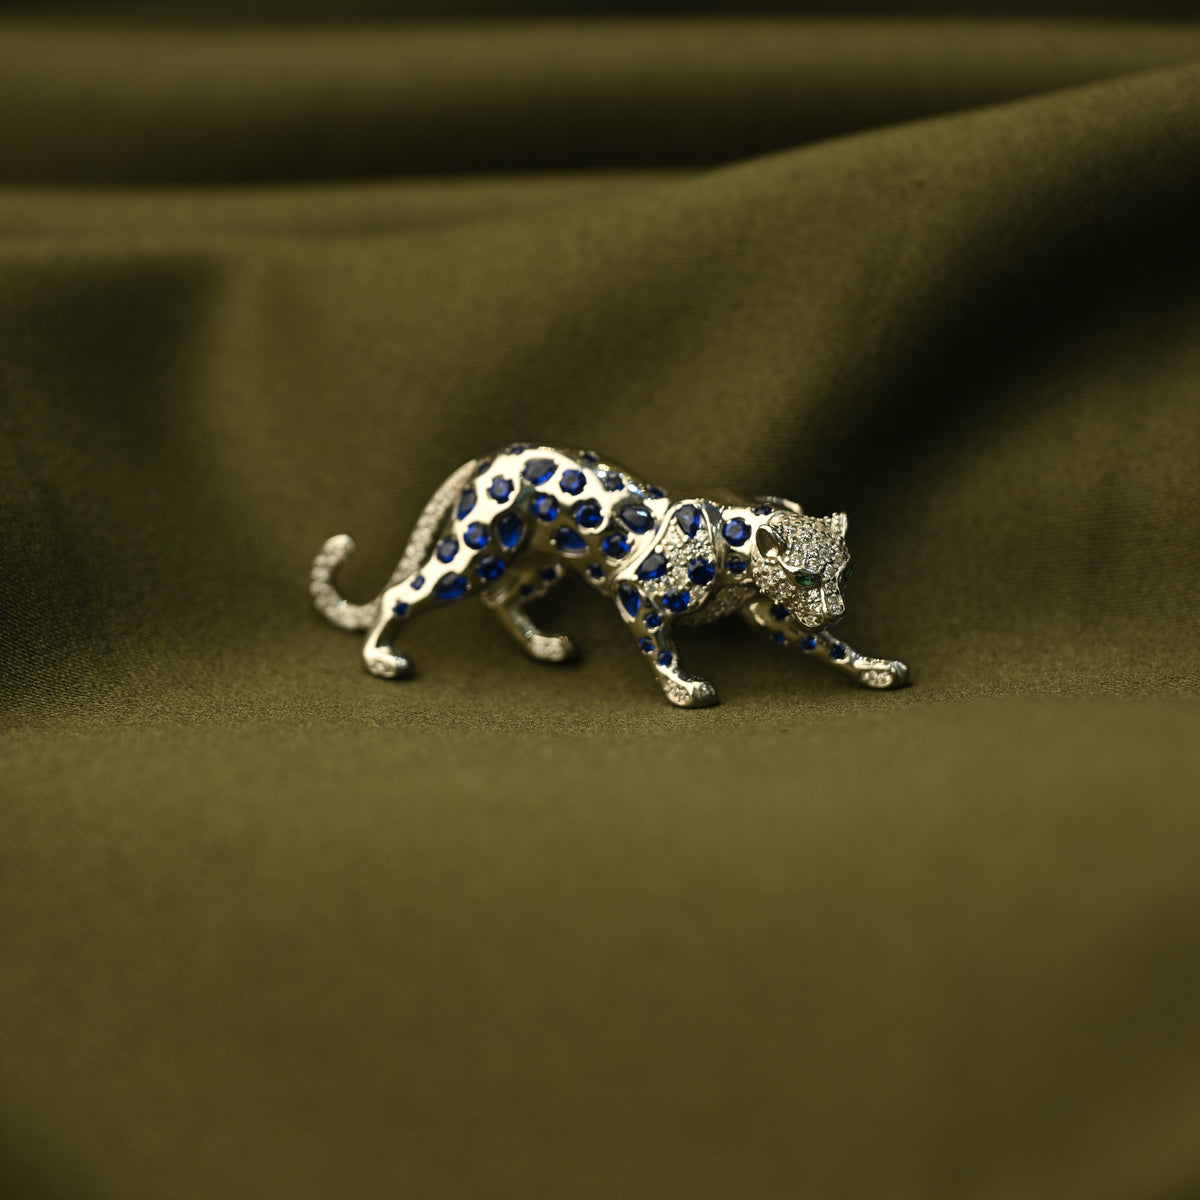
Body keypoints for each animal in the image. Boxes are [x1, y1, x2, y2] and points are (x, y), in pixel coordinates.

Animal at [310, 443, 908, 708]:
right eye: (804, 577)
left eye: (842, 574)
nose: (834, 608)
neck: (737, 550)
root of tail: (489, 457)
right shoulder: (635, 594)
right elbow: (660, 647)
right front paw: (682, 687)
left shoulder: (772, 614)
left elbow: (831, 647)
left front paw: (875, 668)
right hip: (475, 552)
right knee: (403, 593)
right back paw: (381, 658)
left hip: (540, 562)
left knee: (500, 599)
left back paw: (543, 646)